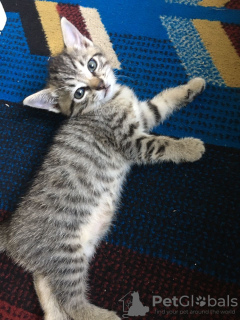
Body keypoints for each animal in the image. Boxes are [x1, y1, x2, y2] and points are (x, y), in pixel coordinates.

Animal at [0, 18, 205, 320]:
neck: (110, 101)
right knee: (72, 303)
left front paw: (193, 84)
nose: (101, 85)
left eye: (92, 65)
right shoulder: (130, 142)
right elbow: (161, 144)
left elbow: (164, 101)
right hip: (66, 254)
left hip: (56, 264)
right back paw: (107, 316)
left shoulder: (144, 114)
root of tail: (11, 234)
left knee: (49, 294)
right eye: (79, 93)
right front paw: (190, 147)